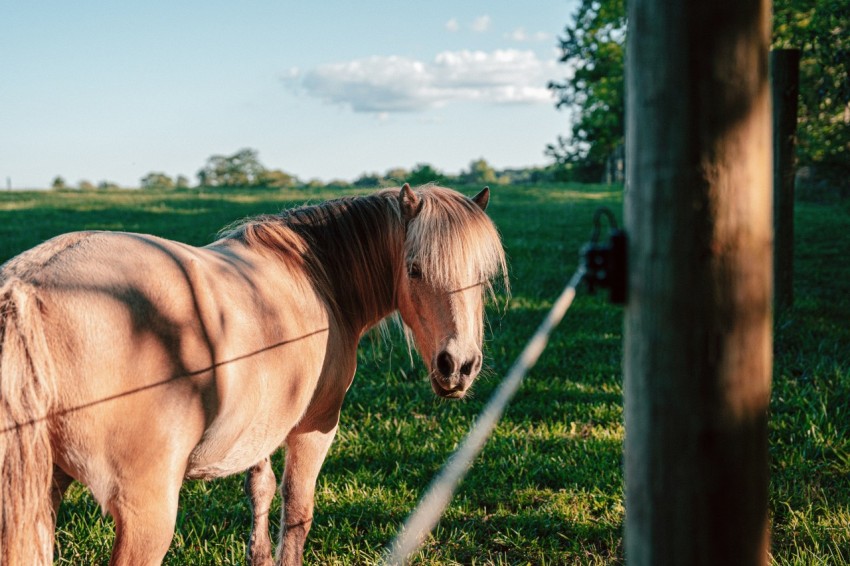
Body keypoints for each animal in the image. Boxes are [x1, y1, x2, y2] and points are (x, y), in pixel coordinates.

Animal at [0, 183, 507, 565]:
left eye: (483, 276)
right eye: (415, 269)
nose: (458, 365)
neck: (316, 274)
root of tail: (25, 287)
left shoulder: (260, 426)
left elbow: (259, 491)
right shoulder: (314, 428)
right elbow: (296, 509)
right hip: (146, 516)